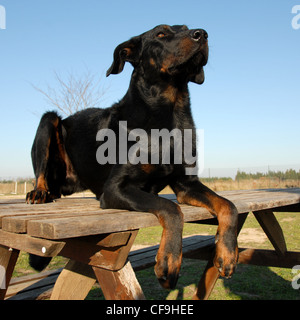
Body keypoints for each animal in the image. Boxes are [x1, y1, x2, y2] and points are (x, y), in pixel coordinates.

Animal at [27, 24, 238, 290]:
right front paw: (169, 259)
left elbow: (228, 205)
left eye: (188, 28)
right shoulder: (116, 188)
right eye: (161, 34)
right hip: (49, 121)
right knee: (41, 169)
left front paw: (227, 253)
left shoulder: (187, 184)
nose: (202, 33)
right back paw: (39, 192)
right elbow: (170, 207)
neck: (169, 111)